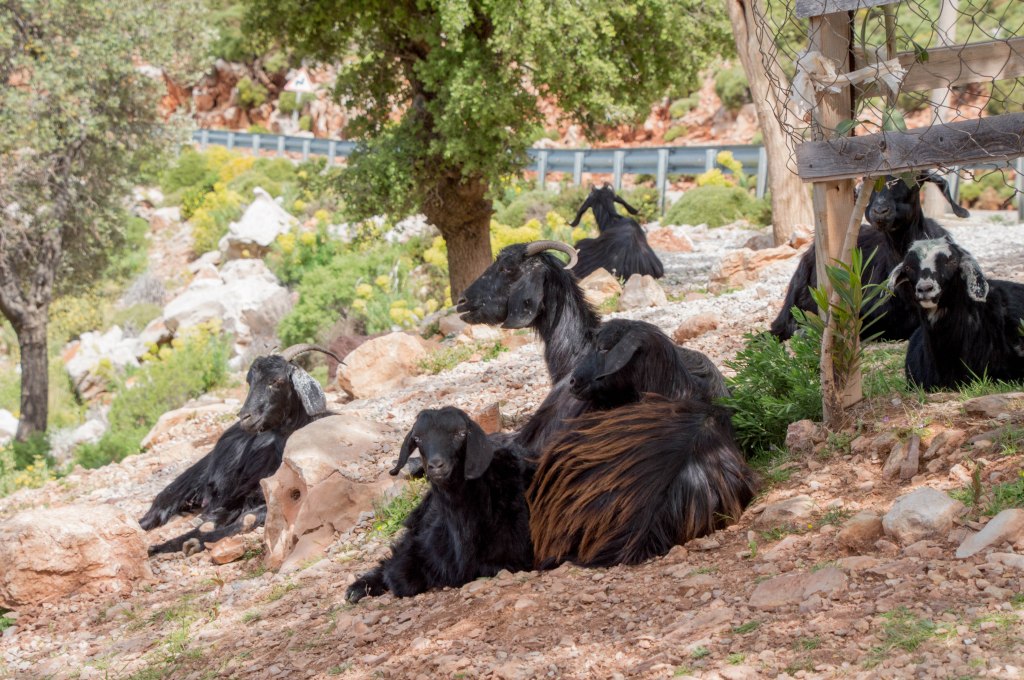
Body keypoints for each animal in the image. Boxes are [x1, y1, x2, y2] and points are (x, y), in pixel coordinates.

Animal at [140, 344, 338, 555]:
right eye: (250, 381)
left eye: (277, 380)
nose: (245, 417)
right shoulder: (239, 496)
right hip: (189, 480)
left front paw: (192, 542)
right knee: (160, 504)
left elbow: (245, 520)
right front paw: (165, 545)